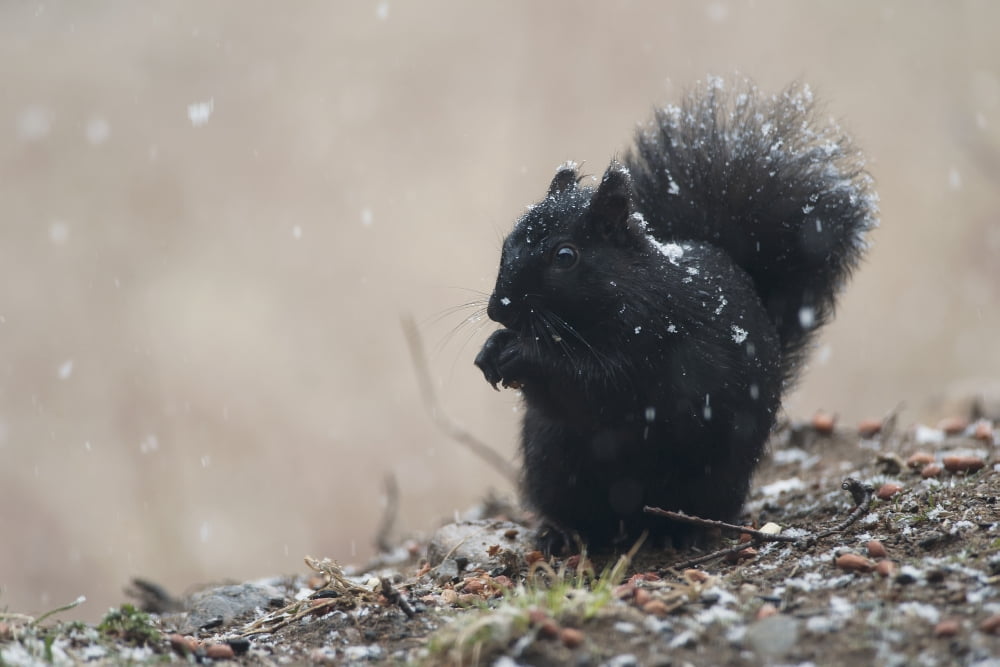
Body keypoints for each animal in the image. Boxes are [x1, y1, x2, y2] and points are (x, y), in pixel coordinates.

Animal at [474, 79, 878, 552]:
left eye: (565, 256)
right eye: (508, 242)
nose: (497, 309)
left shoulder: (651, 340)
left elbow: (595, 386)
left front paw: (523, 355)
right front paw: (492, 350)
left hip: (710, 474)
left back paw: (682, 533)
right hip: (551, 463)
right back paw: (562, 535)